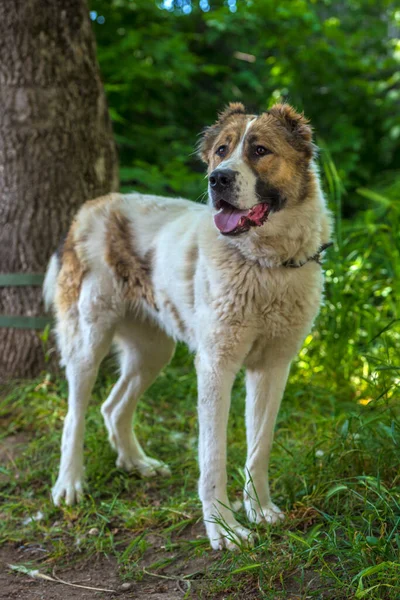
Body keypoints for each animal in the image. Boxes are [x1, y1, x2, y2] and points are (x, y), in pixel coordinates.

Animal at [43, 102, 332, 548]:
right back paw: (69, 484)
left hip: (153, 351)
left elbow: (259, 447)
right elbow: (213, 456)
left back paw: (137, 463)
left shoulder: (273, 367)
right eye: (221, 151)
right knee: (74, 415)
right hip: (87, 341)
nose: (218, 179)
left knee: (113, 406)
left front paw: (260, 510)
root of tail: (92, 206)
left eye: (260, 150)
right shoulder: (215, 366)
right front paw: (224, 528)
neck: (264, 266)